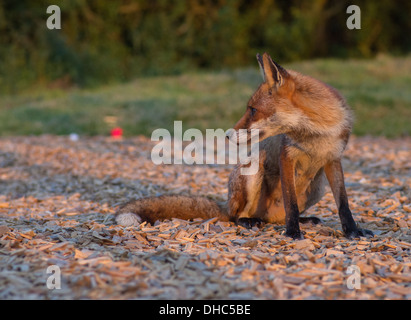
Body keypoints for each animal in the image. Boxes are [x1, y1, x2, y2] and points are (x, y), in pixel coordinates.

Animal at [116, 52, 374, 239]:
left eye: (252, 110)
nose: (227, 135)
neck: (316, 133)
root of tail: (226, 205)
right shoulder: (287, 156)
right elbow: (290, 201)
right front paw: (292, 233)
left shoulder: (333, 159)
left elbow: (343, 204)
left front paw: (352, 231)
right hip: (253, 170)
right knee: (235, 216)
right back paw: (250, 220)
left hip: (318, 187)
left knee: (277, 217)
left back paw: (301, 220)